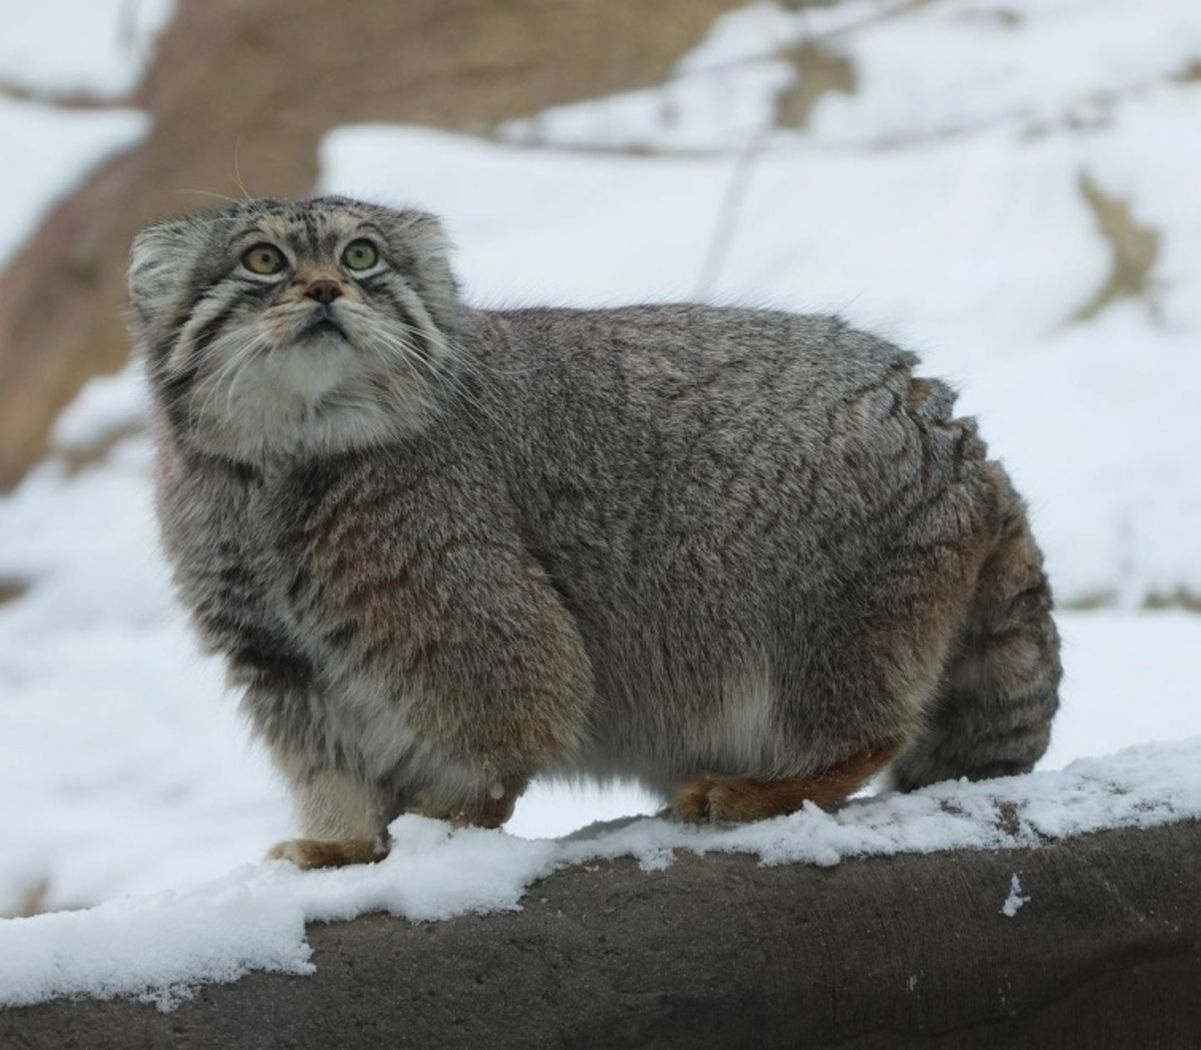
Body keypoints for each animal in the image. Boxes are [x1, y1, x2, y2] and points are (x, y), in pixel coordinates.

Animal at [126, 197, 1056, 869]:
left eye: (362, 256)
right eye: (263, 260)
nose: (325, 290)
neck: (286, 464)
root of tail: (961, 440)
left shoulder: (470, 614)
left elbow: (504, 729)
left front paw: (454, 814)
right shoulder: (281, 663)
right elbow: (334, 767)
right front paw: (343, 841)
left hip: (821, 618)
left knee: (865, 731)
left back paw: (767, 787)